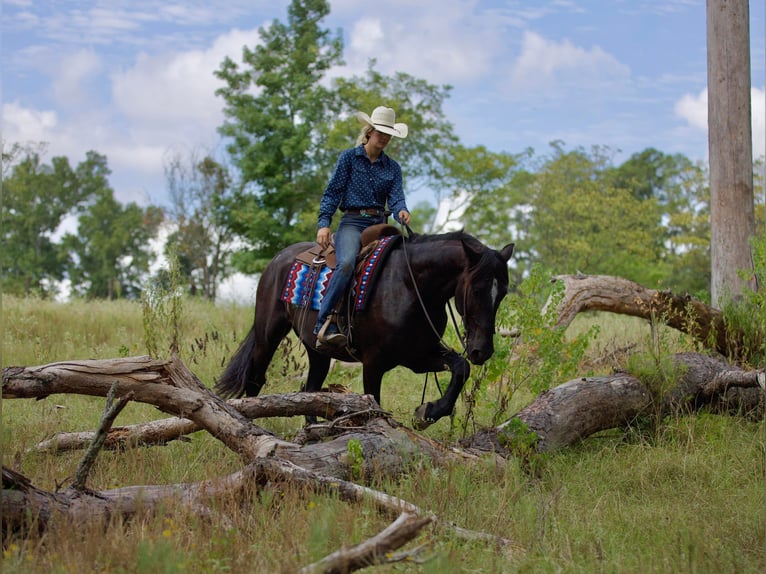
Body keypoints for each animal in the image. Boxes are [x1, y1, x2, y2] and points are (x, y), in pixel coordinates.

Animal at [216, 232, 516, 430]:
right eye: (476, 290)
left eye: (502, 292)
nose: (482, 350)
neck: (412, 286)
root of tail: (279, 258)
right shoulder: (374, 362)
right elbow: (375, 404)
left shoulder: (419, 355)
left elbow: (460, 367)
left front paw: (428, 412)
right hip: (268, 335)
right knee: (255, 379)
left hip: (317, 350)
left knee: (311, 388)